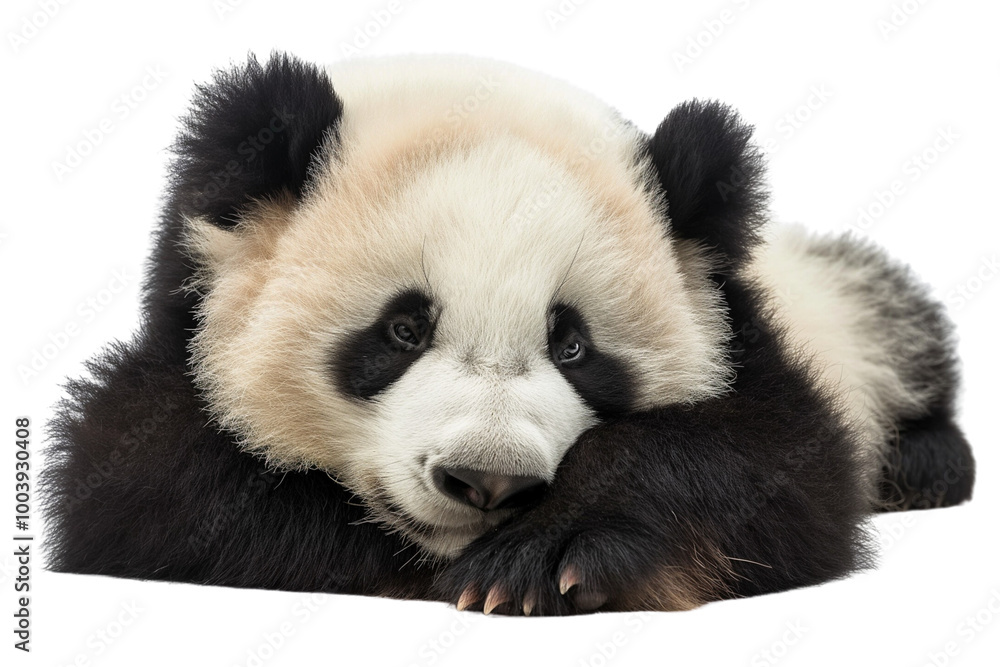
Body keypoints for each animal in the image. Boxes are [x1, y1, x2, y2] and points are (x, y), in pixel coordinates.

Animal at [41, 52, 975, 616]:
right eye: (403, 328)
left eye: (575, 347)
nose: (489, 481)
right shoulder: (184, 320)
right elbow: (145, 474)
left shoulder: (746, 329)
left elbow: (785, 468)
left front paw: (541, 557)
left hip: (849, 305)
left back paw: (927, 462)